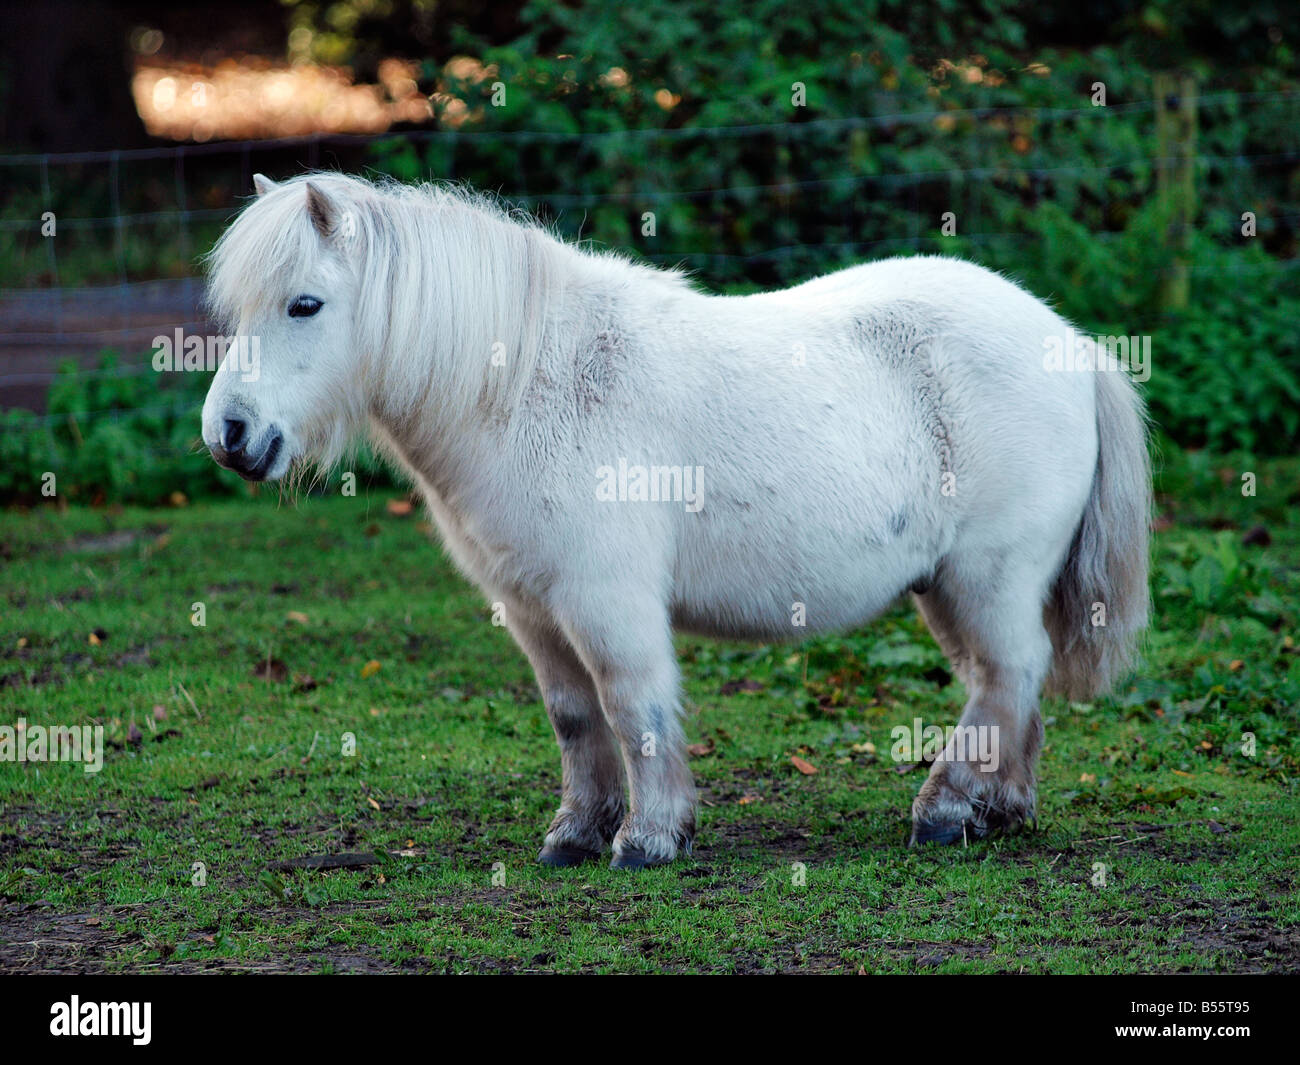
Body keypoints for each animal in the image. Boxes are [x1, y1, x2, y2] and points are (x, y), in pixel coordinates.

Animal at [202, 175, 1149, 868]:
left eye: (304, 304)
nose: (230, 435)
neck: (528, 383)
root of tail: (1070, 343)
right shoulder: (533, 609)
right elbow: (575, 719)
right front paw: (575, 835)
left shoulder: (608, 601)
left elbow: (636, 709)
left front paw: (650, 838)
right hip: (951, 589)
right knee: (1006, 684)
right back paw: (1001, 810)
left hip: (989, 576)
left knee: (1007, 674)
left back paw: (947, 811)